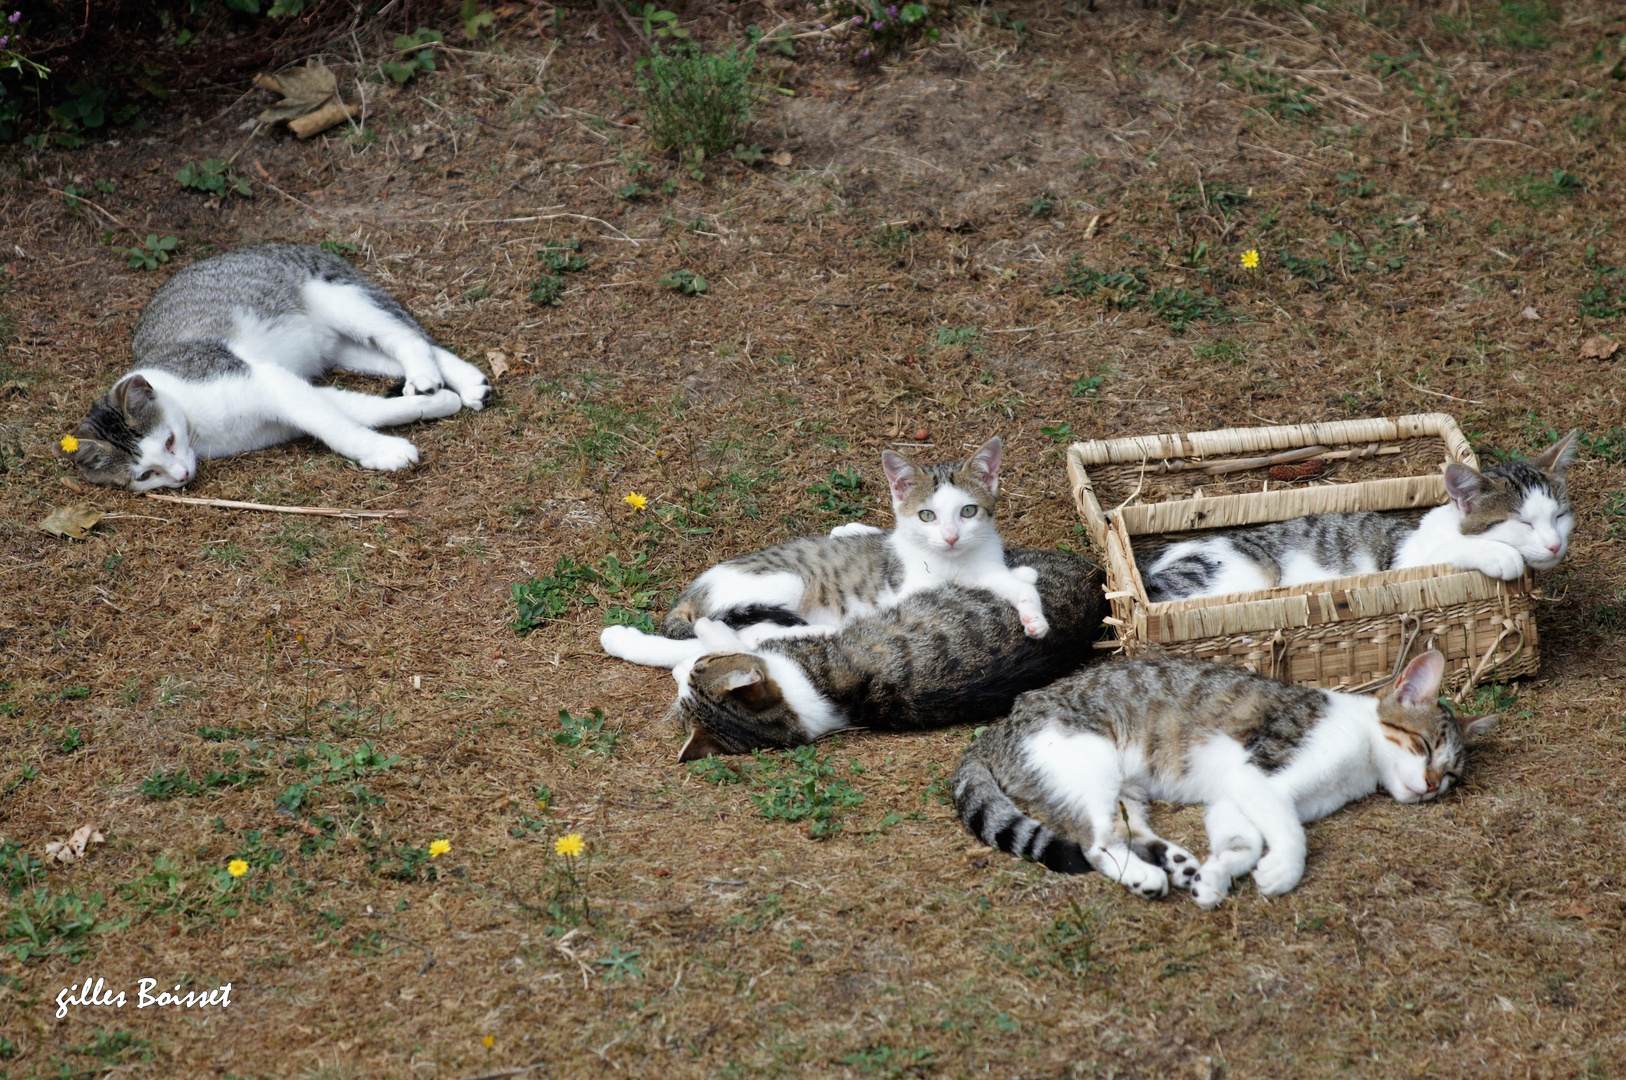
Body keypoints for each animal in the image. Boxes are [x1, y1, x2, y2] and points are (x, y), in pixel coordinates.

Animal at [58, 240, 487, 487]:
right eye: (147, 475)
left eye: (168, 441)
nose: (181, 476)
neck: (197, 428)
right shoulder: (284, 403)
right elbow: (361, 410)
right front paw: (429, 409)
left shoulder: (267, 381)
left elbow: (334, 427)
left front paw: (386, 451)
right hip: (342, 348)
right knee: (400, 350)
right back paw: (461, 384)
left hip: (337, 295)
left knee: (408, 335)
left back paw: (430, 375)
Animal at [604, 435, 1047, 670]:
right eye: (927, 515)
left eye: (968, 511)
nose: (952, 536)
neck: (957, 562)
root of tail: (690, 591)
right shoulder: (908, 590)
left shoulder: (986, 563)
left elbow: (1012, 583)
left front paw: (1033, 614)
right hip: (783, 582)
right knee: (744, 632)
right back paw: (820, 630)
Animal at [949, 650, 1495, 910]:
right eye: (1425, 747)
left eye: (1451, 775)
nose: (1432, 785)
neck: (1361, 762)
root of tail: (1000, 725)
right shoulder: (1262, 776)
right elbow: (1289, 833)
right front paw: (1283, 871)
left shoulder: (1236, 796)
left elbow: (1243, 841)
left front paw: (1216, 877)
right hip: (1089, 762)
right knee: (1095, 842)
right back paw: (1147, 877)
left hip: (1126, 788)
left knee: (1127, 829)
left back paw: (1178, 863)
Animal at [1138, 429, 1580, 598]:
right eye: (1522, 523)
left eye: (1559, 517)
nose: (1555, 546)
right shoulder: (1408, 561)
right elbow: (1454, 551)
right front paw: (1501, 555)